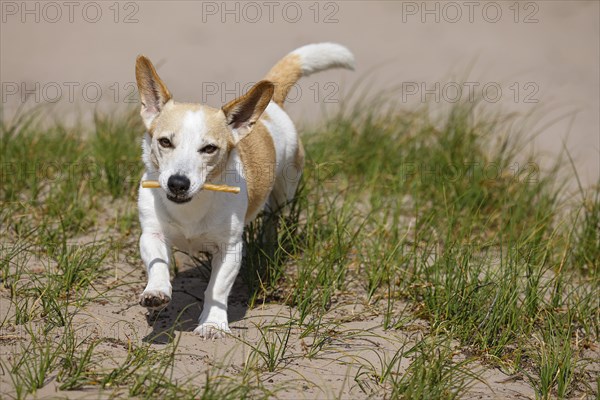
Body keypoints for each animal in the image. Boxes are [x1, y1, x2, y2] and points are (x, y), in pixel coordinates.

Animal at [134, 43, 354, 338]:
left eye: (209, 149)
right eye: (165, 142)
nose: (178, 183)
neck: (192, 207)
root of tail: (273, 104)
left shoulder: (231, 248)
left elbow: (217, 288)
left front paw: (213, 323)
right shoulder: (152, 234)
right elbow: (157, 264)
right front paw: (156, 291)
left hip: (285, 192)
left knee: (274, 218)